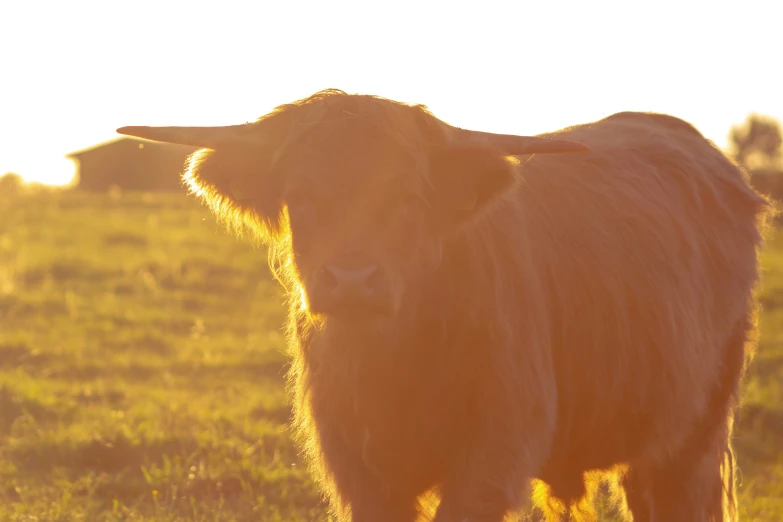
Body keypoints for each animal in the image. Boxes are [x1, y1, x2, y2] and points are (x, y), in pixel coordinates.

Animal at [119, 90, 776, 520]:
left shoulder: (491, 455)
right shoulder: (361, 470)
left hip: (692, 438)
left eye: (408, 197)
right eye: (299, 197)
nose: (353, 279)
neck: (394, 362)